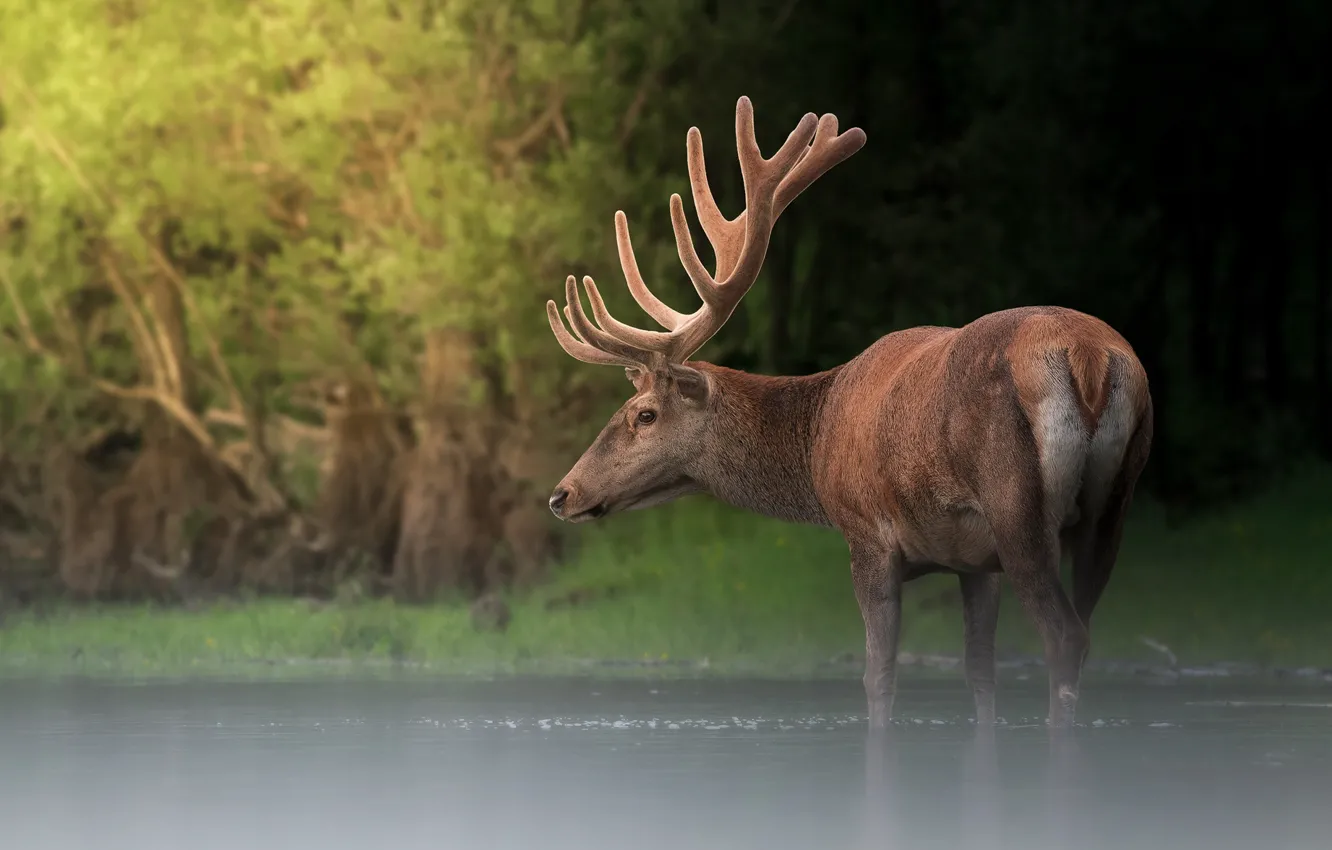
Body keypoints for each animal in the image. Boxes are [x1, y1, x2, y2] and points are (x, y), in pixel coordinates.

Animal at [544, 96, 1153, 731]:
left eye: (644, 414)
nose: (561, 494)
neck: (817, 439)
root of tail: (1088, 358)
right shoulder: (973, 561)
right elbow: (979, 677)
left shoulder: (868, 535)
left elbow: (877, 678)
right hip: (1112, 505)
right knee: (1085, 626)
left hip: (1016, 502)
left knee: (1063, 636)